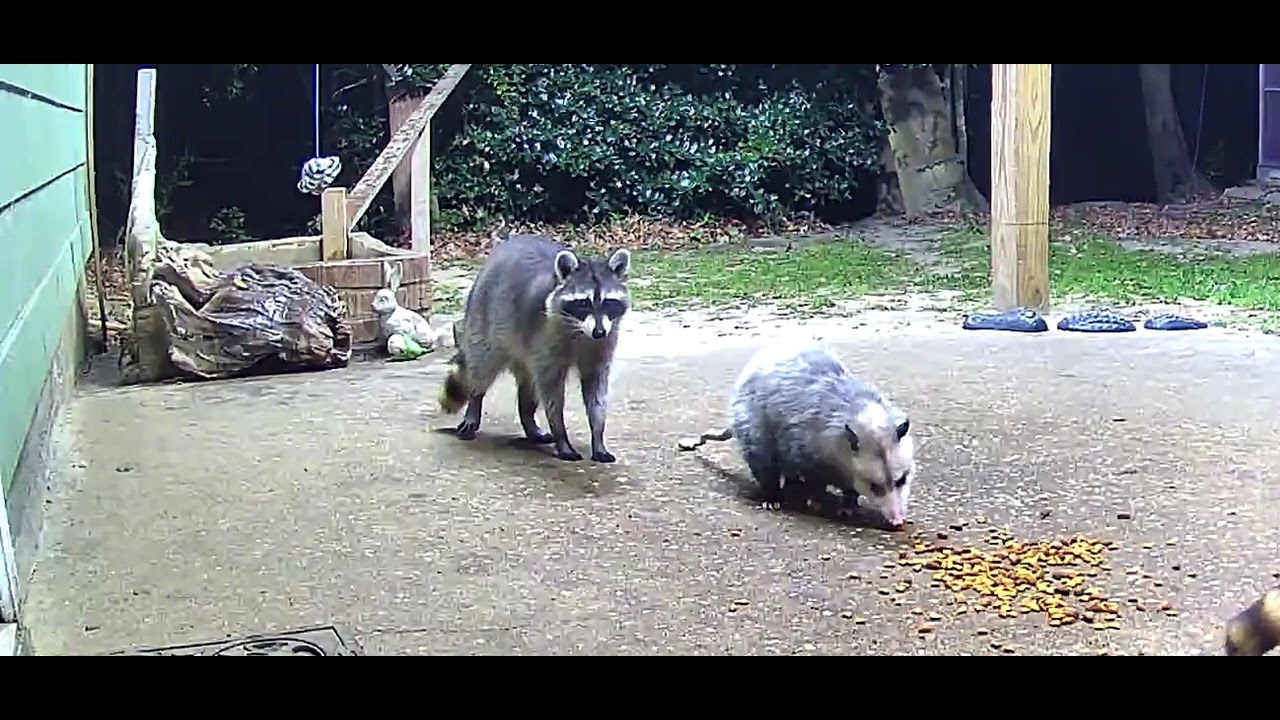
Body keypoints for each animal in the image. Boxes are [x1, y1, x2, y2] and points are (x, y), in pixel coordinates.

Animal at [438, 234, 631, 463]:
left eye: (609, 302)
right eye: (584, 303)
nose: (599, 332)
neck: (580, 332)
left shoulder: (603, 345)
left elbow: (596, 391)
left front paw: (598, 434)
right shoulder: (546, 339)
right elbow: (552, 395)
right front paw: (561, 435)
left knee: (528, 389)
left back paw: (529, 420)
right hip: (484, 319)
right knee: (482, 367)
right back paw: (475, 404)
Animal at [725, 342, 917, 528]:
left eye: (901, 480)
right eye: (874, 486)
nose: (898, 521)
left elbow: (851, 490)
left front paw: (848, 505)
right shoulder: (805, 449)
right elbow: (814, 479)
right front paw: (816, 500)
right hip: (752, 427)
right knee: (764, 462)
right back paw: (773, 498)